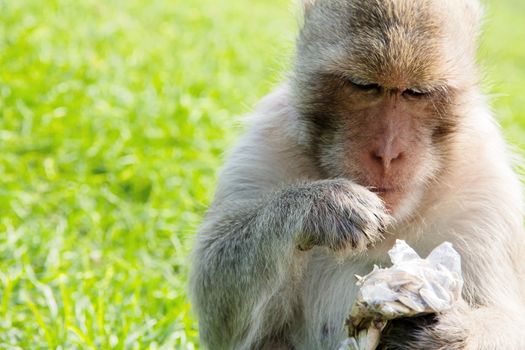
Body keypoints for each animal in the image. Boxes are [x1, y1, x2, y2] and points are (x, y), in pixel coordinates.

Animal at [188, 0, 524, 348]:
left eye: (416, 93)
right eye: (364, 86)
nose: (387, 153)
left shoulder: (487, 194)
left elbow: (509, 320)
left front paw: (443, 331)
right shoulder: (263, 145)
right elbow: (220, 317)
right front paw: (322, 205)